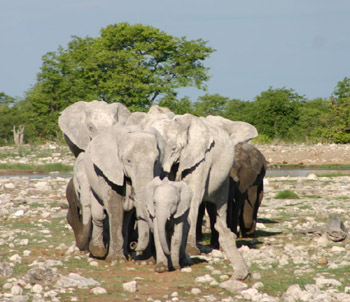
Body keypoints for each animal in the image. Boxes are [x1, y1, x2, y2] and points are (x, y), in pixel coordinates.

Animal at [83, 124, 168, 260]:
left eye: (156, 161)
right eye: (128, 161)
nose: (135, 246)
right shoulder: (109, 168)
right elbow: (114, 206)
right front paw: (116, 260)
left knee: (126, 218)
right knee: (99, 214)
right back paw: (98, 252)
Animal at [148, 113, 258, 255]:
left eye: (174, 149)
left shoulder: (203, 158)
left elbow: (194, 195)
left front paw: (190, 250)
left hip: (224, 177)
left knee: (220, 206)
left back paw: (222, 246)